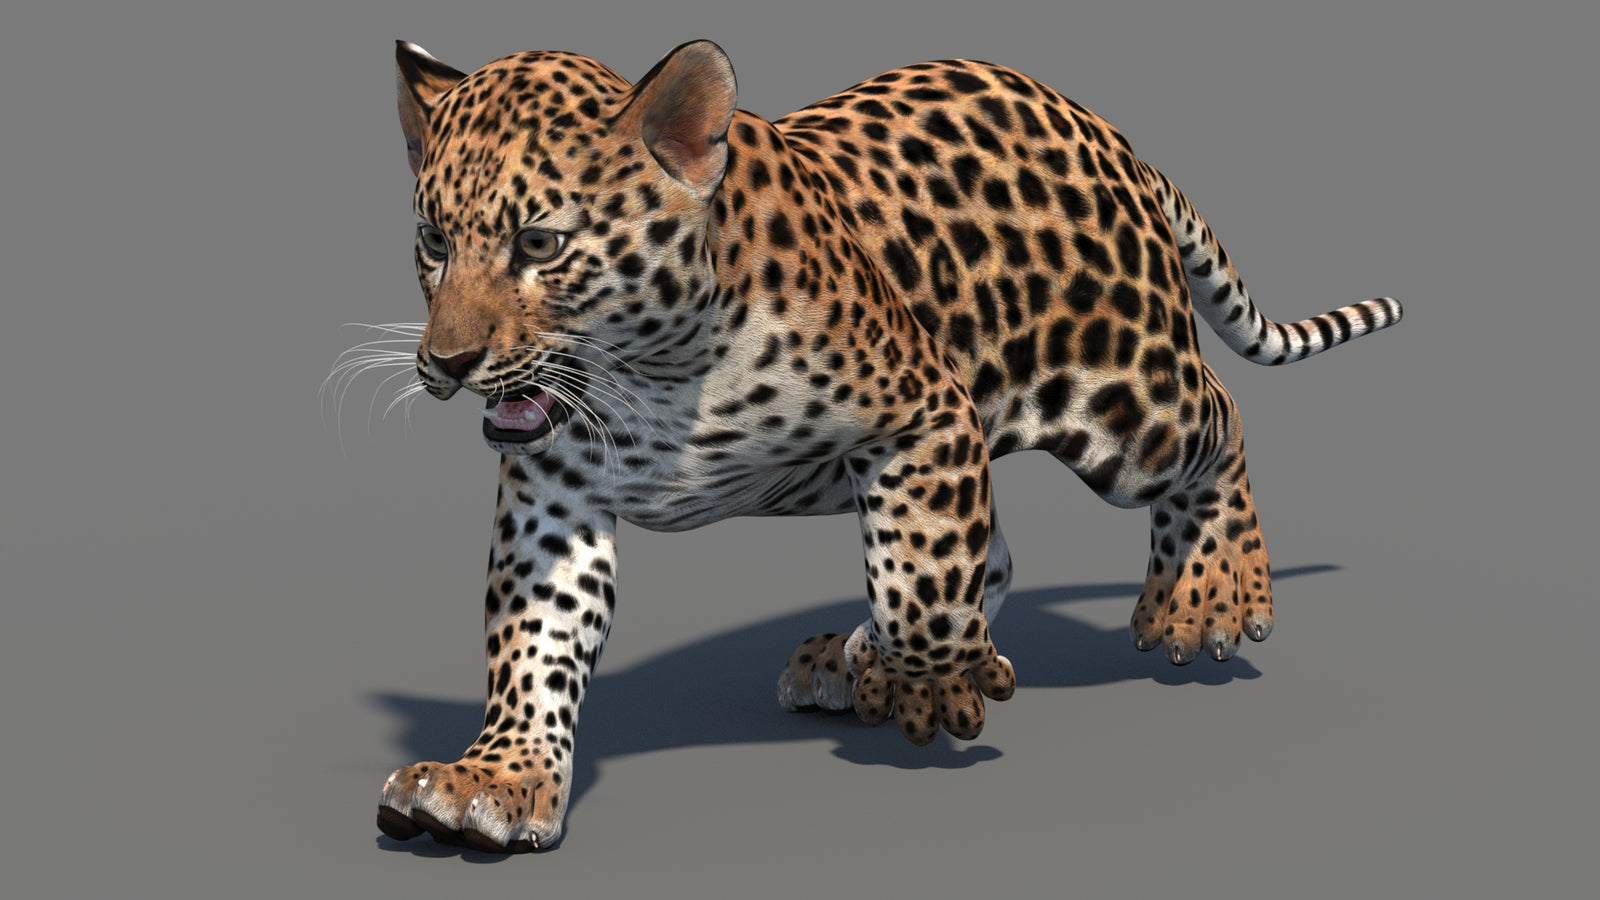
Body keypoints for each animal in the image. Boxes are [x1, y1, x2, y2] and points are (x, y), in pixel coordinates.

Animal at [368, 38, 1402, 853]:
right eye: (433, 241)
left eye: (541, 244)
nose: (447, 362)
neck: (653, 375)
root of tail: (1115, 138)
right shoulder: (555, 494)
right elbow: (537, 639)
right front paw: (500, 778)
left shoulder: (926, 410)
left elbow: (923, 573)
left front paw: (930, 690)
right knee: (997, 549)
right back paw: (854, 656)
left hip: (1128, 403)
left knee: (1220, 417)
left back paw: (1205, 598)